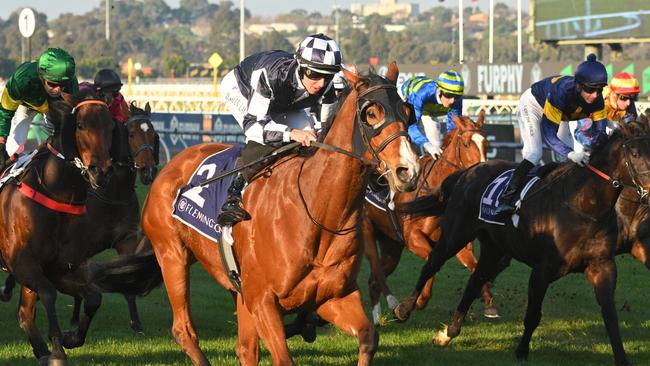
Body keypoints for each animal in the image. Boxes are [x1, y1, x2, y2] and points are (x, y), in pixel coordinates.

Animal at [0, 92, 114, 366]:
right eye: (80, 125)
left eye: (111, 127)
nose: (101, 172)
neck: (55, 191)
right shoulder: (22, 263)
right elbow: (49, 294)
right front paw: (57, 350)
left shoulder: (59, 267)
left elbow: (93, 297)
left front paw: (70, 339)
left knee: (24, 313)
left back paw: (40, 350)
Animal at [139, 63, 418, 366]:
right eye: (371, 113)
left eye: (408, 112)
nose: (408, 171)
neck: (317, 212)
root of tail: (169, 167)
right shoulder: (262, 300)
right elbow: (283, 358)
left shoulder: (335, 296)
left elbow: (368, 337)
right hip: (172, 255)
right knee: (184, 330)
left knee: (246, 349)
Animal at [360, 111, 496, 324]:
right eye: (467, 144)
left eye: (487, 144)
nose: (484, 172)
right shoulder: (413, 238)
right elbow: (432, 260)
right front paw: (418, 301)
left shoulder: (460, 244)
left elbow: (474, 266)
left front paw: (489, 303)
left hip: (392, 247)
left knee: (374, 279)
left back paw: (377, 319)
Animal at [392, 120, 648, 366]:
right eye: (635, 153)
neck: (583, 205)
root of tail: (469, 171)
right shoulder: (542, 270)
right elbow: (533, 314)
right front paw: (521, 351)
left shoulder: (602, 266)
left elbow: (610, 316)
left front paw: (622, 358)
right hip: (456, 234)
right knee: (432, 263)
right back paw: (404, 309)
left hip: (493, 247)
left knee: (475, 281)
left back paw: (449, 332)